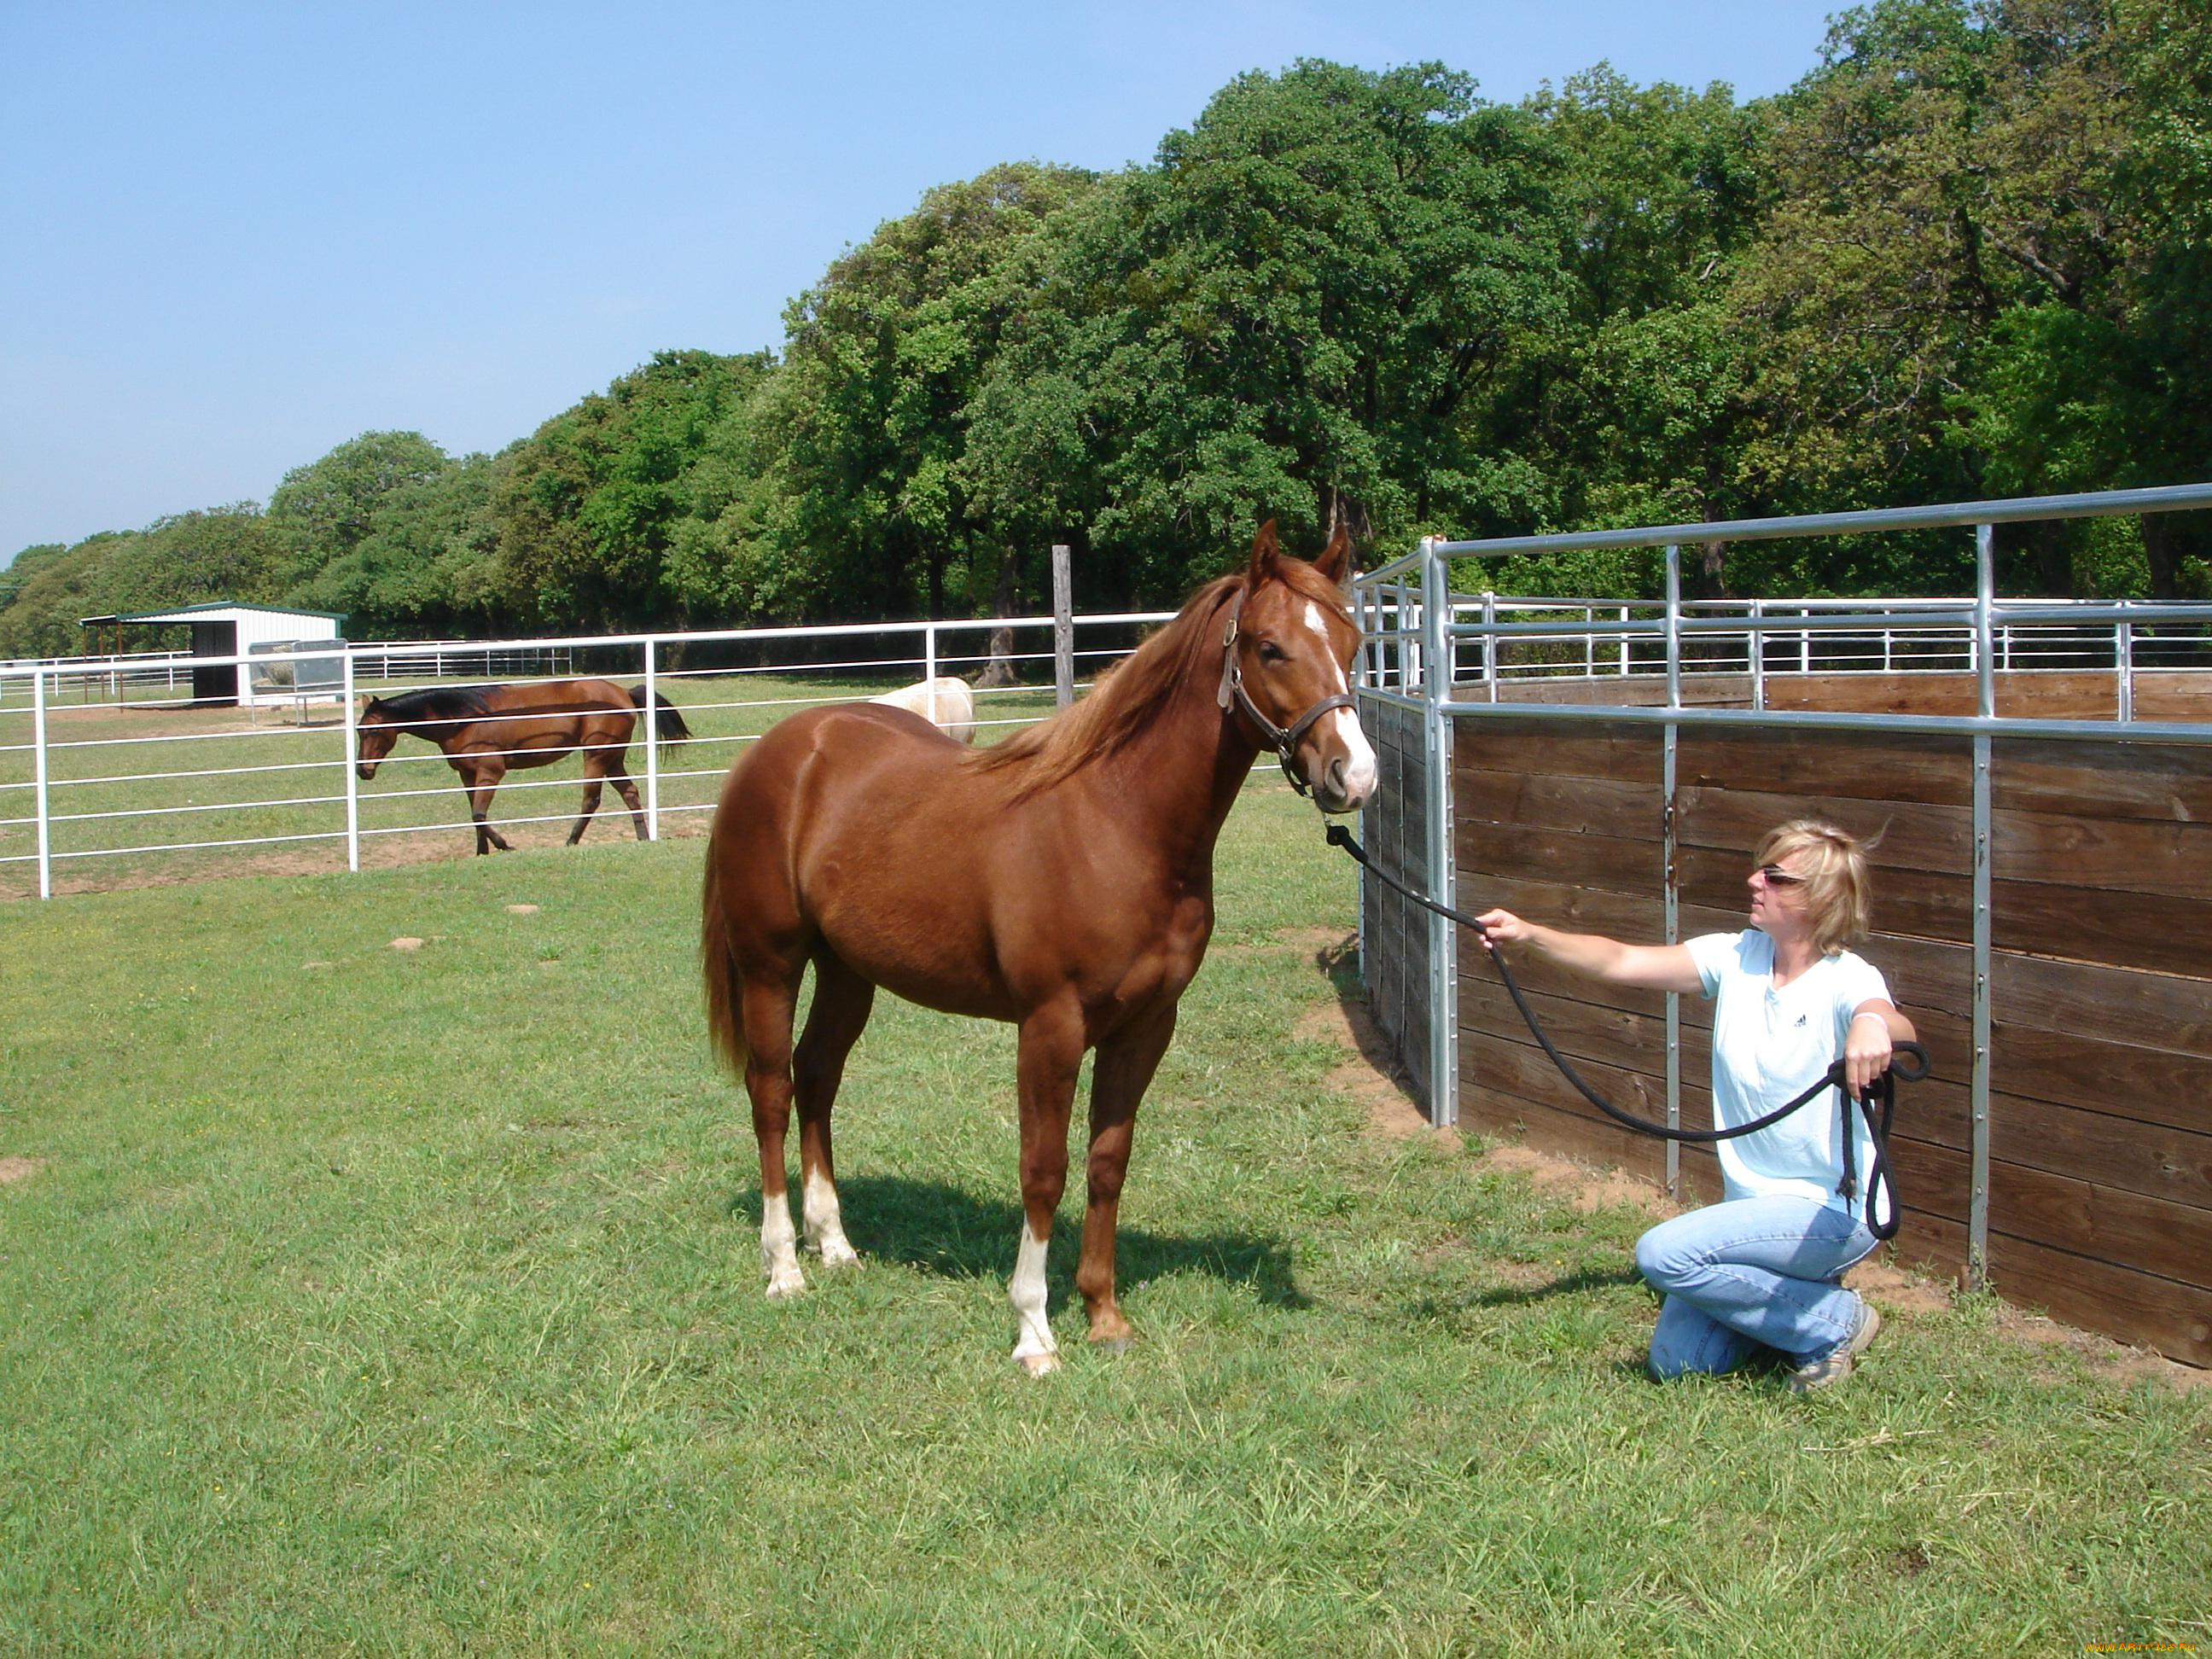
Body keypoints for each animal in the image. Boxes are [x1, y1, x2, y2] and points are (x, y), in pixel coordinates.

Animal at [358, 677, 694, 858]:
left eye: (373, 730)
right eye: (359, 730)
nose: (363, 771)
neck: (464, 718)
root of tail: (624, 693)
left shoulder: (490, 773)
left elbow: (479, 814)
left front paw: (506, 846)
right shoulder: (467, 775)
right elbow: (475, 816)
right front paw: (481, 853)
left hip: (596, 756)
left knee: (591, 799)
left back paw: (570, 841)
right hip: (612, 759)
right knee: (630, 793)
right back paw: (642, 836)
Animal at [699, 521, 1371, 1380]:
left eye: (1351, 644)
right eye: (1270, 647)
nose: (1355, 774)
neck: (1116, 822)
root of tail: (783, 747)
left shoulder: (1145, 1027)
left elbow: (1108, 1161)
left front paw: (1104, 1314)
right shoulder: (1050, 1027)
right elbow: (1043, 1171)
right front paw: (1034, 1332)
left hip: (849, 971)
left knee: (818, 1076)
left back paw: (836, 1244)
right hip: (771, 964)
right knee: (773, 1092)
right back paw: (784, 1265)